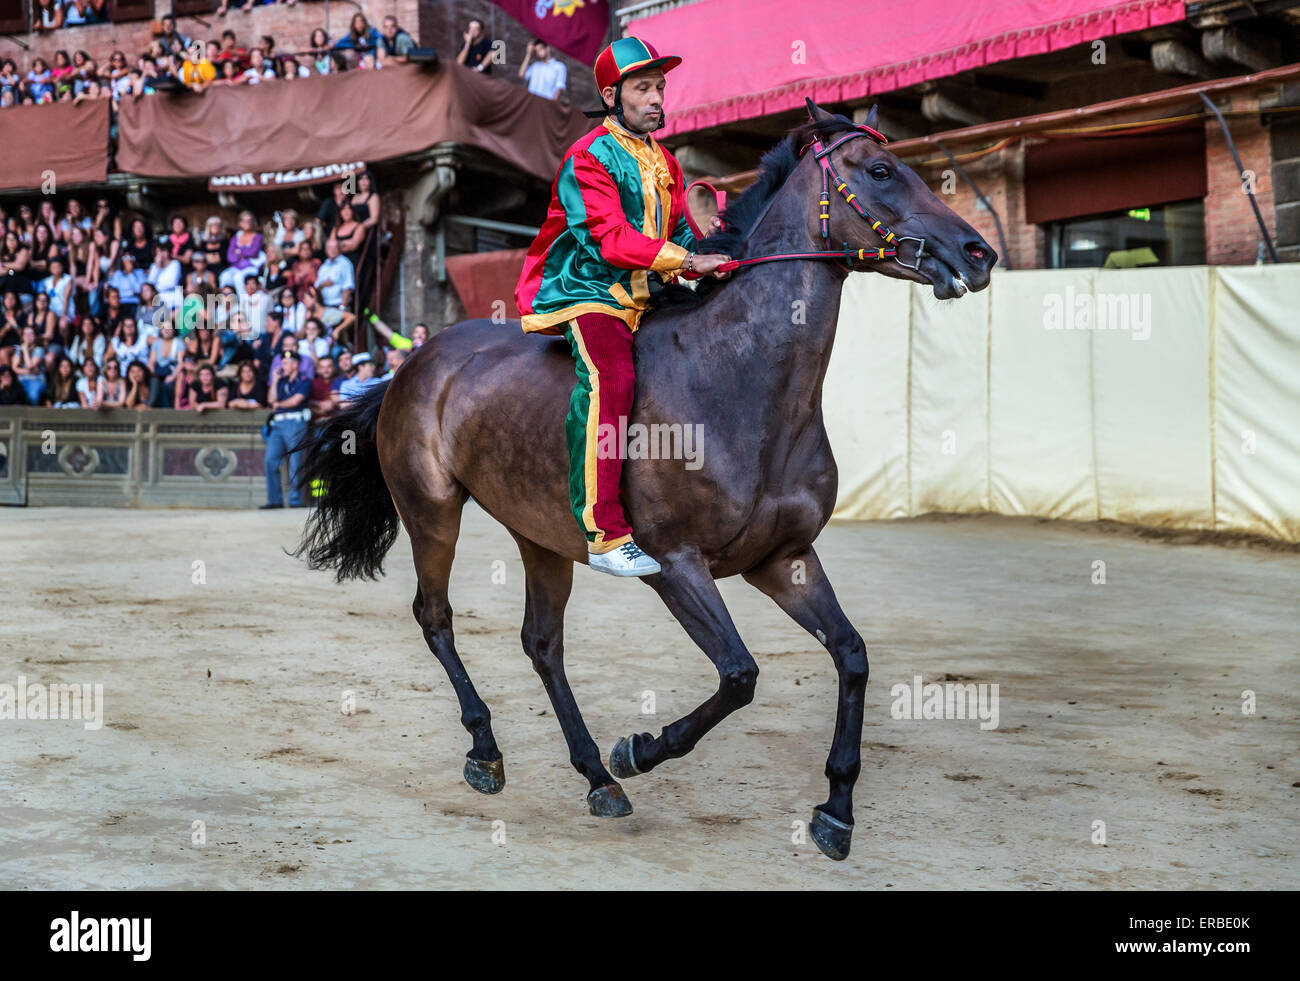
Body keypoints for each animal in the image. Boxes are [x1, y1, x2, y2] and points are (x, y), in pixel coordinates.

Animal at [294, 99, 997, 861]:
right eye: (880, 170)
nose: (978, 253)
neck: (741, 383)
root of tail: (415, 361)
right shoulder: (676, 565)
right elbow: (740, 674)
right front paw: (640, 747)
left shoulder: (784, 559)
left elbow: (853, 655)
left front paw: (836, 808)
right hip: (432, 511)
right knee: (436, 617)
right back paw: (489, 748)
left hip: (541, 536)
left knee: (542, 644)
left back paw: (595, 775)